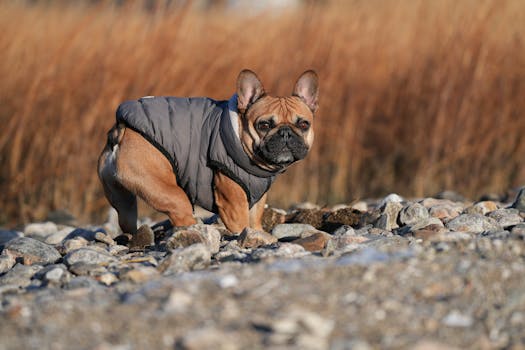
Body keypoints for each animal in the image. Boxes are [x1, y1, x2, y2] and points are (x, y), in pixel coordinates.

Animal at [98, 69, 320, 237]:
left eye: (304, 124)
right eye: (264, 125)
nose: (285, 133)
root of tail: (121, 131)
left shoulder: (257, 198)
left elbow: (254, 221)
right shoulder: (233, 205)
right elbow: (242, 226)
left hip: (123, 201)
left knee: (126, 220)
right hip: (168, 192)